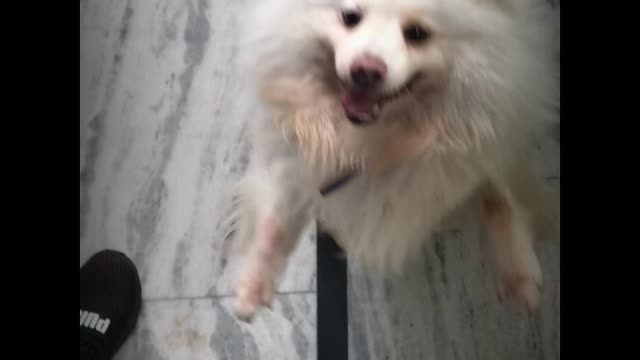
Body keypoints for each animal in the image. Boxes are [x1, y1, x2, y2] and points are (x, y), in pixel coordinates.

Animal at [228, 0, 556, 320]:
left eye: (417, 34)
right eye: (350, 17)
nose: (365, 70)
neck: (374, 143)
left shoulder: (495, 125)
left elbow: (500, 193)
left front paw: (519, 274)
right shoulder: (294, 162)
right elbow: (273, 222)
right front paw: (252, 285)